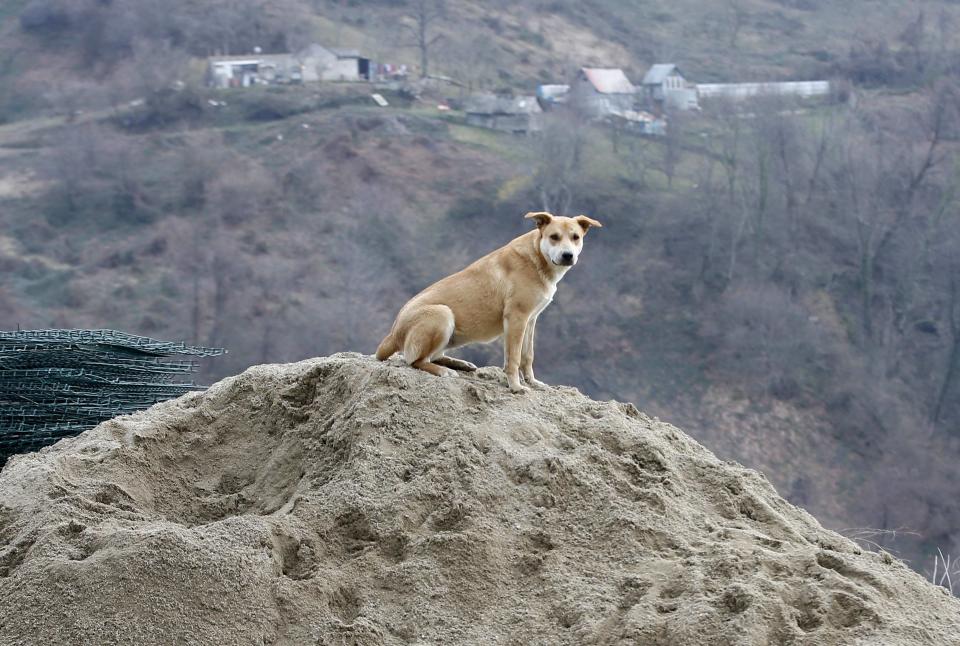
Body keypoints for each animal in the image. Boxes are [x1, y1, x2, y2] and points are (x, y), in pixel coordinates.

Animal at [374, 215, 600, 392]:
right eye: (554, 237)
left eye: (576, 237)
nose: (568, 255)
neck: (537, 257)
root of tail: (392, 333)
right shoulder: (517, 318)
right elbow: (514, 358)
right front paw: (515, 386)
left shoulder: (531, 319)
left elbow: (528, 355)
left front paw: (532, 382)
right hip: (442, 314)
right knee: (416, 361)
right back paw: (443, 370)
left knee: (432, 356)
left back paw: (459, 363)